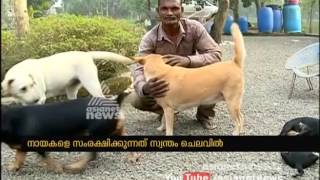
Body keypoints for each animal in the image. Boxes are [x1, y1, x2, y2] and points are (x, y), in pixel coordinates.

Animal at [0, 50, 132, 105]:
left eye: (33, 84)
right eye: (23, 88)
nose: (36, 99)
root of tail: (86, 54)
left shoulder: (41, 98)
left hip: (91, 84)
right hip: (71, 89)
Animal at [1, 93, 129, 173]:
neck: (11, 120)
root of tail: (114, 103)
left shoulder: (38, 146)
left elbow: (47, 159)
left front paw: (58, 169)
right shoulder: (21, 147)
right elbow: (18, 158)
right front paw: (13, 168)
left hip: (94, 134)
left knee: (91, 155)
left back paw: (74, 167)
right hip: (114, 131)